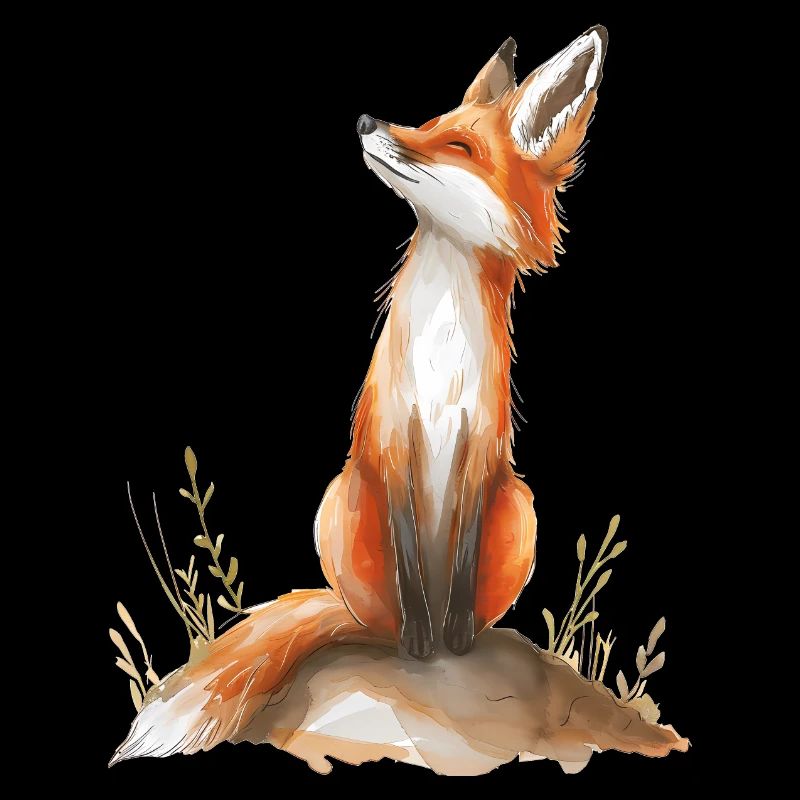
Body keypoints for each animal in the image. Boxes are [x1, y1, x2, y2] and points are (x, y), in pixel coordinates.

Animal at [112, 26, 608, 763]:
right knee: (375, 619)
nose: (368, 121)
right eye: (428, 123)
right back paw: (394, 639)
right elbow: (410, 573)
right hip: (342, 503)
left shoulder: (477, 453)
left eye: (458, 146)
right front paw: (421, 648)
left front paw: (451, 645)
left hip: (519, 506)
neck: (440, 356)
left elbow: (458, 573)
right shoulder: (395, 443)